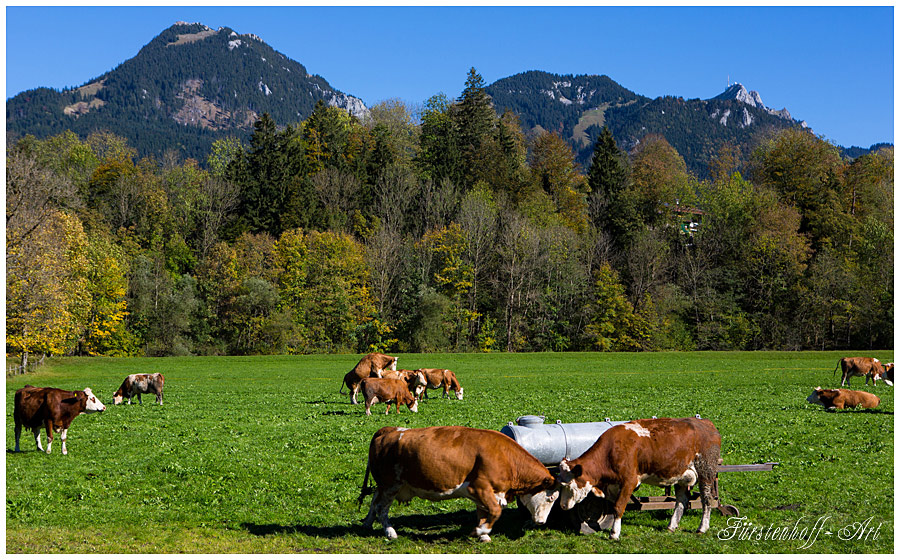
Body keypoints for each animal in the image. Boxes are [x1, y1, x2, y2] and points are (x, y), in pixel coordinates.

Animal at [356, 426, 556, 540]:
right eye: (551, 498)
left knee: (374, 499)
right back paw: (390, 532)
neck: (504, 455)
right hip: (391, 484)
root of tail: (389, 430)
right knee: (382, 507)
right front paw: (480, 531)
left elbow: (484, 512)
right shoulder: (479, 487)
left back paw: (367, 524)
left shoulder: (487, 493)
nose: (541, 522)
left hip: (386, 485)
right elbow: (495, 511)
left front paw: (483, 535)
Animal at [556, 418, 724, 540]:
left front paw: (614, 533)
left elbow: (619, 507)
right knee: (681, 500)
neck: (611, 451)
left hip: (706, 472)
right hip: (682, 475)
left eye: (570, 485)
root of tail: (706, 423)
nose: (563, 506)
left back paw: (702, 528)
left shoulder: (629, 481)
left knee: (707, 500)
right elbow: (613, 507)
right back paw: (671, 526)